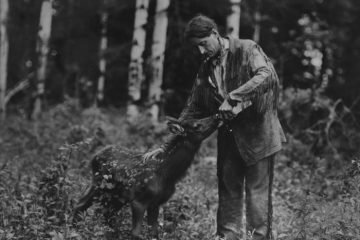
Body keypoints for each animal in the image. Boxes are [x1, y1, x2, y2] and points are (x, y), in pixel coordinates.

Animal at [73, 115, 219, 239]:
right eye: (197, 125)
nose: (216, 116)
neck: (167, 173)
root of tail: (94, 156)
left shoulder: (156, 202)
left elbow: (154, 233)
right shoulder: (139, 200)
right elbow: (136, 233)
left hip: (116, 195)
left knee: (106, 214)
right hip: (99, 184)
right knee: (81, 204)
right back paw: (75, 230)